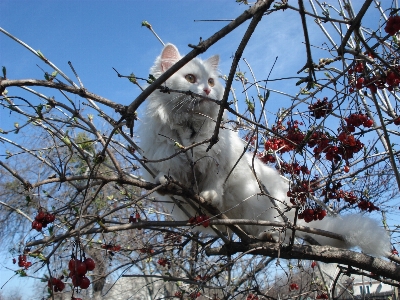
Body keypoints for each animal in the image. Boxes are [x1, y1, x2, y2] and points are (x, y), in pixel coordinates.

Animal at [138, 43, 390, 256]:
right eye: (190, 78)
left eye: (210, 82)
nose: (207, 91)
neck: (190, 129)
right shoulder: (167, 159)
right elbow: (170, 177)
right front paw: (165, 182)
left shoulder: (219, 162)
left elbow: (213, 185)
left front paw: (210, 197)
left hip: (264, 207)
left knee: (279, 233)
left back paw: (269, 236)